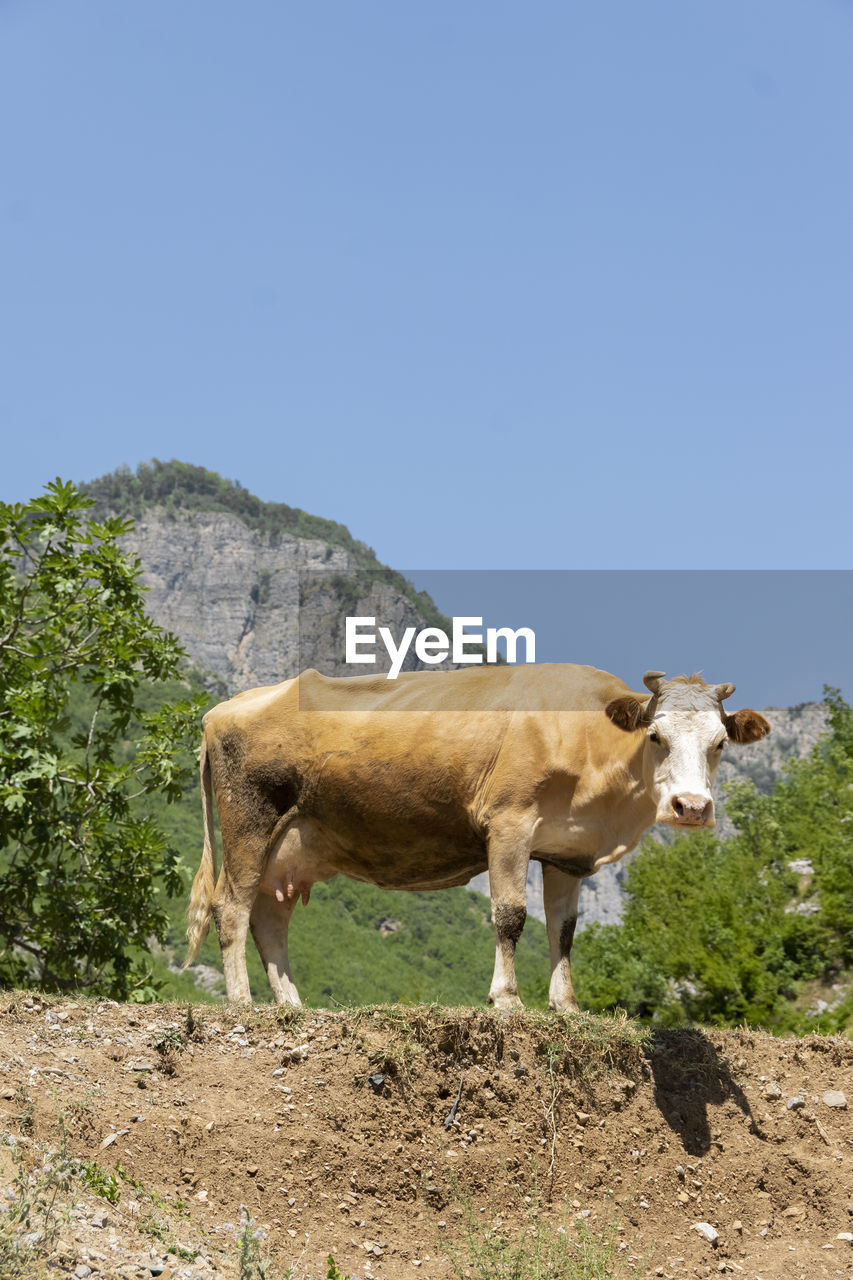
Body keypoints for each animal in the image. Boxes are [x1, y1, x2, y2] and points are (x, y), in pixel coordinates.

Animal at [183, 660, 768, 1008]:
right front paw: (506, 999)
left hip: (290, 844)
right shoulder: (509, 821)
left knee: (268, 917)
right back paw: (242, 1002)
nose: (692, 807)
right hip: (250, 819)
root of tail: (222, 709)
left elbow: (564, 931)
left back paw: (291, 1005)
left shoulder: (567, 851)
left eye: (720, 742)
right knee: (230, 907)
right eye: (655, 735)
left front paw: (566, 1006)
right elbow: (510, 916)